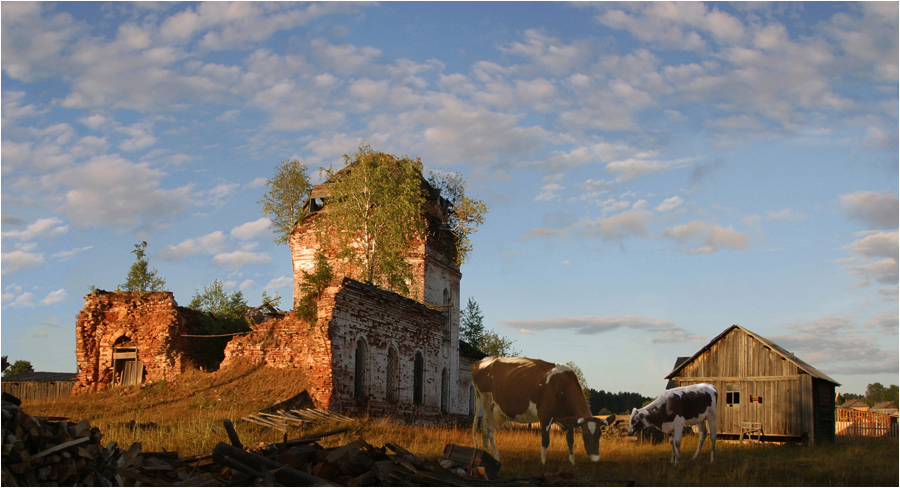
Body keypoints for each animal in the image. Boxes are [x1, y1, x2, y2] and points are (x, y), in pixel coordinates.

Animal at [468, 358, 608, 466]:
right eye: (585, 434)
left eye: (600, 435)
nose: (595, 458)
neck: (562, 385)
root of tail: (481, 361)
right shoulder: (545, 415)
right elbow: (545, 441)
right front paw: (543, 463)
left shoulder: (567, 421)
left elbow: (570, 441)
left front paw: (572, 463)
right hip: (486, 400)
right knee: (489, 428)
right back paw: (496, 456)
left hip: (490, 407)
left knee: (483, 425)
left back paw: (487, 454)